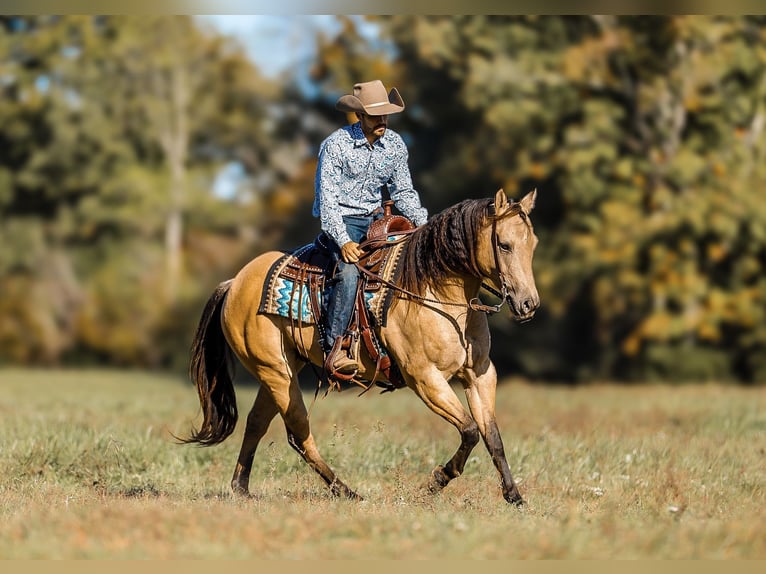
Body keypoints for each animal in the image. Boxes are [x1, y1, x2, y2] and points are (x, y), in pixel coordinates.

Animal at [182, 190, 540, 508]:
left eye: (532, 244)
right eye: (504, 244)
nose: (528, 304)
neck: (435, 291)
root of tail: (234, 283)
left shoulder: (480, 375)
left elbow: (492, 436)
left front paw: (514, 496)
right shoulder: (424, 378)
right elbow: (469, 430)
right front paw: (436, 480)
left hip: (282, 370)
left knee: (257, 422)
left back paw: (241, 488)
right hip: (276, 373)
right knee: (299, 432)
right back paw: (347, 492)